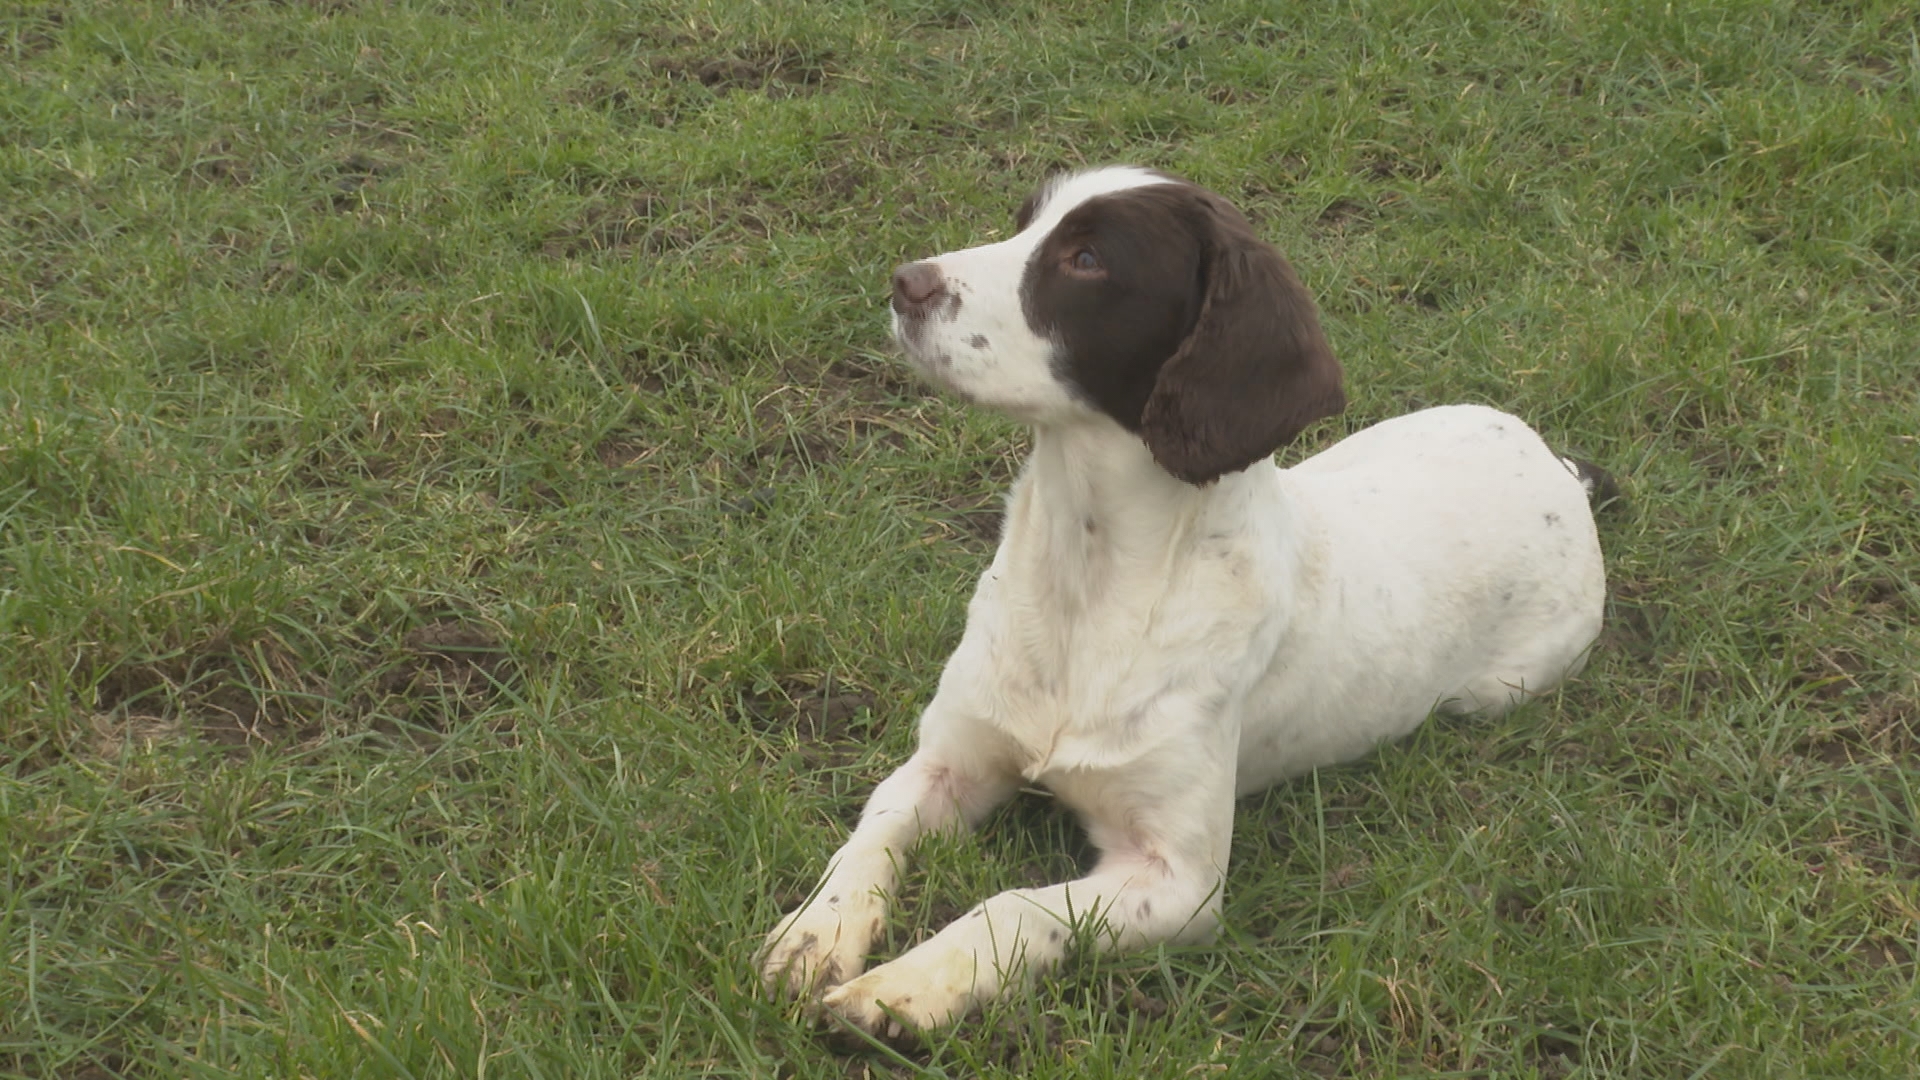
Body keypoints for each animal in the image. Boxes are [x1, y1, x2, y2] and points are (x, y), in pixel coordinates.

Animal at [748, 166, 1605, 1037]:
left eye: (1087, 259)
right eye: (1025, 222)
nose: (905, 282)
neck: (1086, 583)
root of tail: (1560, 470)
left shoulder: (1178, 882)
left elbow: (1016, 905)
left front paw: (910, 984)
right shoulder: (946, 761)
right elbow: (870, 834)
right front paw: (816, 935)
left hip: (1507, 686)